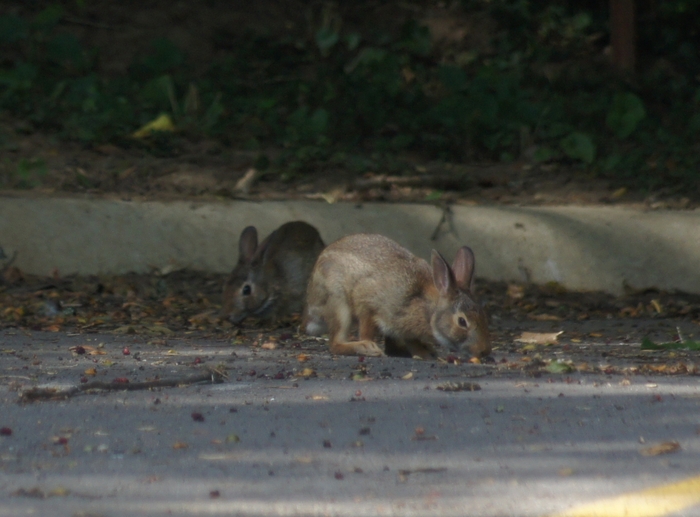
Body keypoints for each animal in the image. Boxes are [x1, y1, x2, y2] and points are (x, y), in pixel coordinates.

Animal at [302, 233, 492, 356]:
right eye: (462, 321)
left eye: (483, 316)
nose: (483, 351)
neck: (427, 309)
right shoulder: (368, 302)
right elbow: (366, 327)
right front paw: (369, 345)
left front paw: (423, 352)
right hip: (338, 302)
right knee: (335, 343)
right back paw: (363, 348)